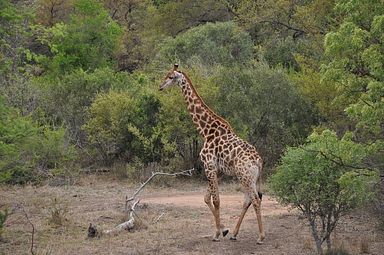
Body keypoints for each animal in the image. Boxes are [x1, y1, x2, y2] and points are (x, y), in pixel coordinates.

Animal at [159, 63, 264, 243]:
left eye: (171, 77)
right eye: (166, 75)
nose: (160, 86)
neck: (205, 131)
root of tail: (258, 161)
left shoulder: (209, 166)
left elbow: (216, 200)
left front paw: (216, 234)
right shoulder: (218, 170)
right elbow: (207, 198)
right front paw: (224, 230)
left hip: (245, 177)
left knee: (255, 200)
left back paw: (260, 236)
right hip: (249, 178)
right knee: (248, 200)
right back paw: (235, 234)